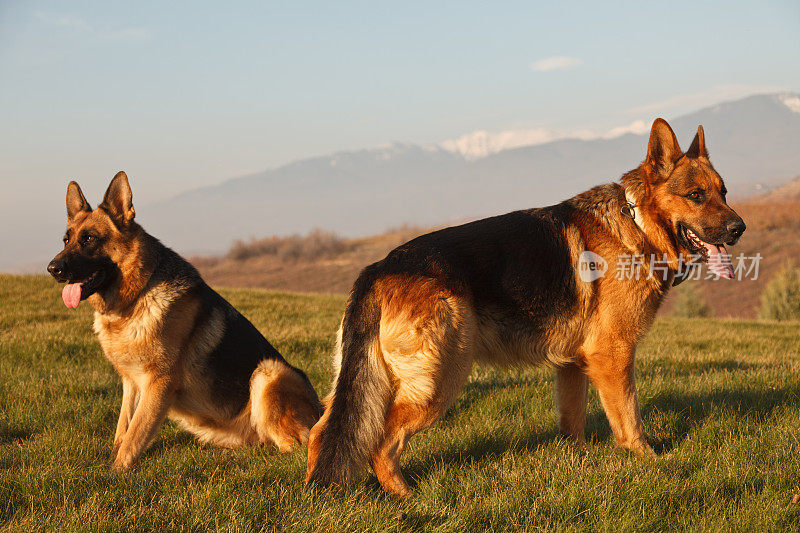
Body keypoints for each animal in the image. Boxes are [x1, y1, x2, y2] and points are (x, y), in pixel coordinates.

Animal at [47, 172, 320, 468]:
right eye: (66, 240)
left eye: (89, 239)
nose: (52, 268)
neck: (136, 299)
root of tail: (320, 413)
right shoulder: (131, 384)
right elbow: (123, 429)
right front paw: (110, 463)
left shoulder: (159, 382)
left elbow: (134, 435)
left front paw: (115, 473)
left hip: (269, 372)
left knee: (292, 448)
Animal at [310, 117, 748, 494]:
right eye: (695, 196)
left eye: (724, 193)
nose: (739, 229)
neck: (637, 222)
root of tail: (379, 268)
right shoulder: (613, 356)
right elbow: (629, 419)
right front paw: (649, 461)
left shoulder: (574, 365)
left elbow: (573, 423)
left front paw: (579, 463)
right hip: (439, 381)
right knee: (380, 442)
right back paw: (407, 497)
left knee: (324, 430)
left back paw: (324, 493)